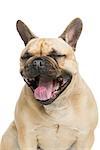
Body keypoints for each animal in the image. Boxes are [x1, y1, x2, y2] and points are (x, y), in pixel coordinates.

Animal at [0, 18, 98, 149]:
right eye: (26, 56)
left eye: (56, 55)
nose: (37, 62)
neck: (56, 106)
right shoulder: (27, 136)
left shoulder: (85, 137)